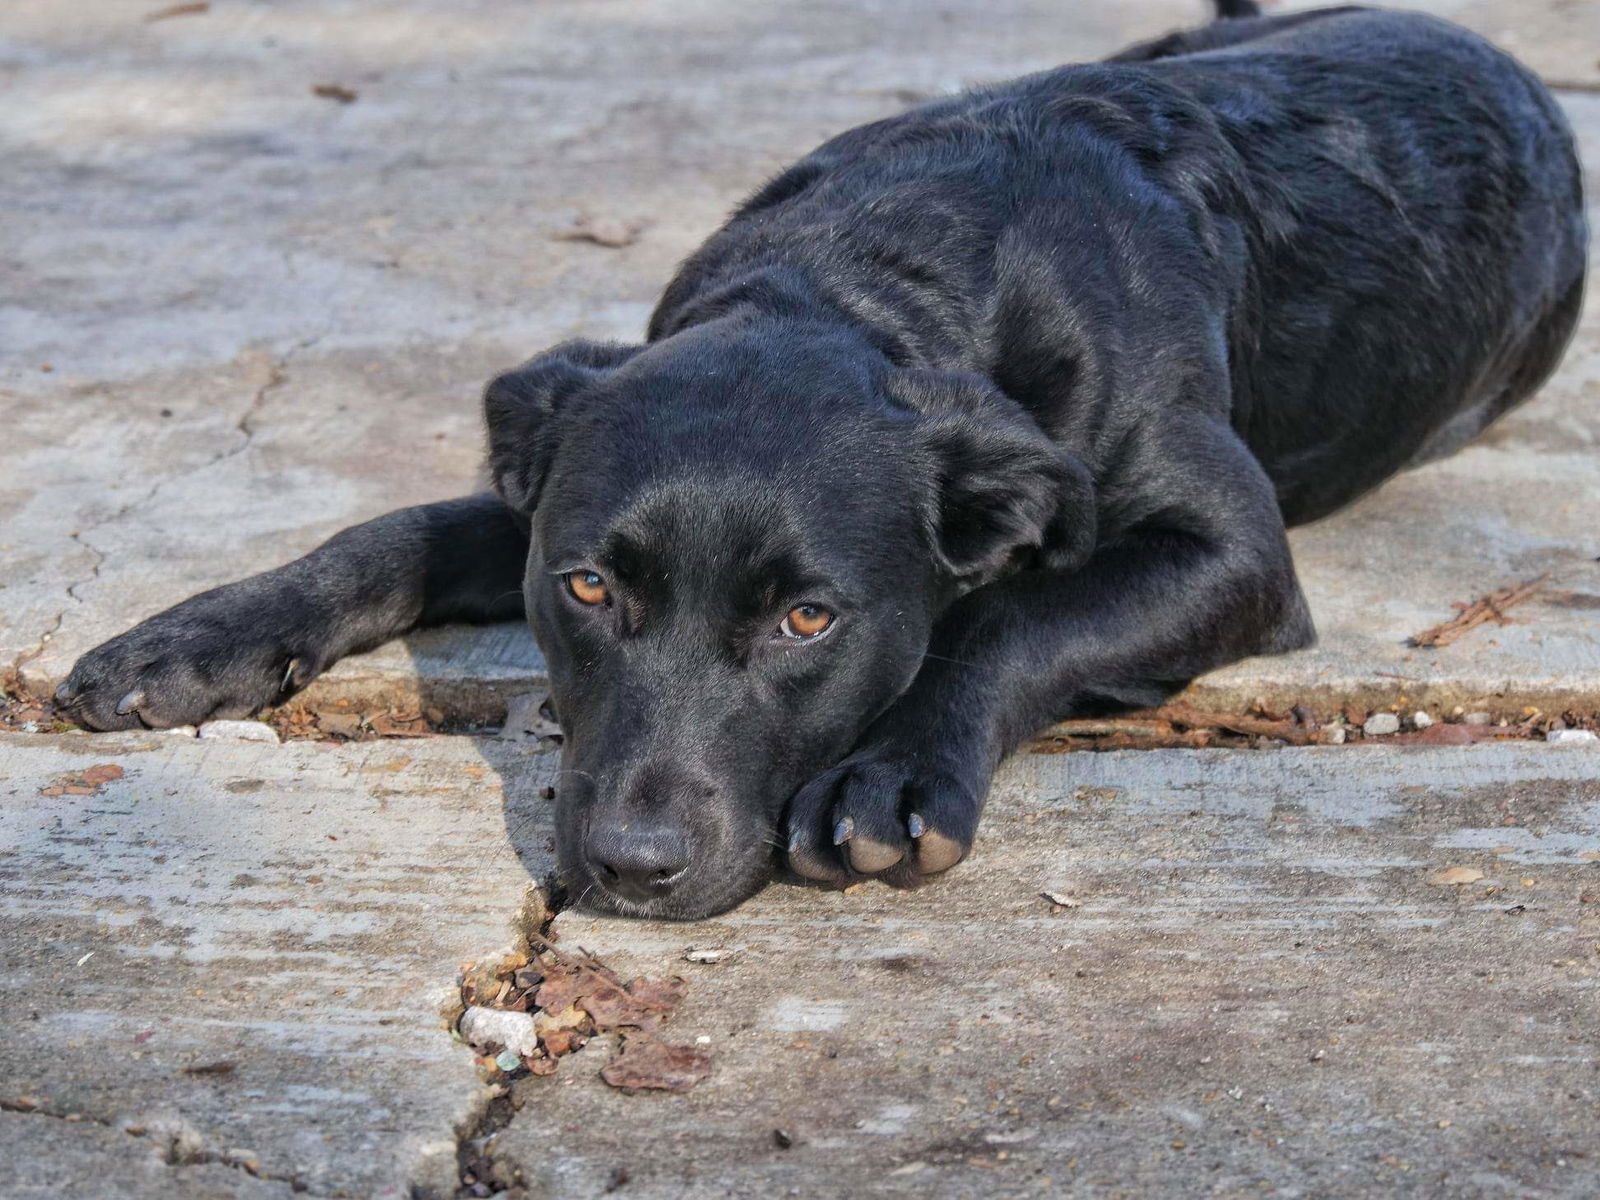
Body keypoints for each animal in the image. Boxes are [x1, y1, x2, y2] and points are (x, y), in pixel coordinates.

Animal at [56, 2, 1580, 921]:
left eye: (808, 620)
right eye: (588, 591)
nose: (630, 871)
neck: (864, 277)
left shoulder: (1231, 553)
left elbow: (1012, 617)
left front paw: (890, 776)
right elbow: (394, 533)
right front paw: (189, 639)